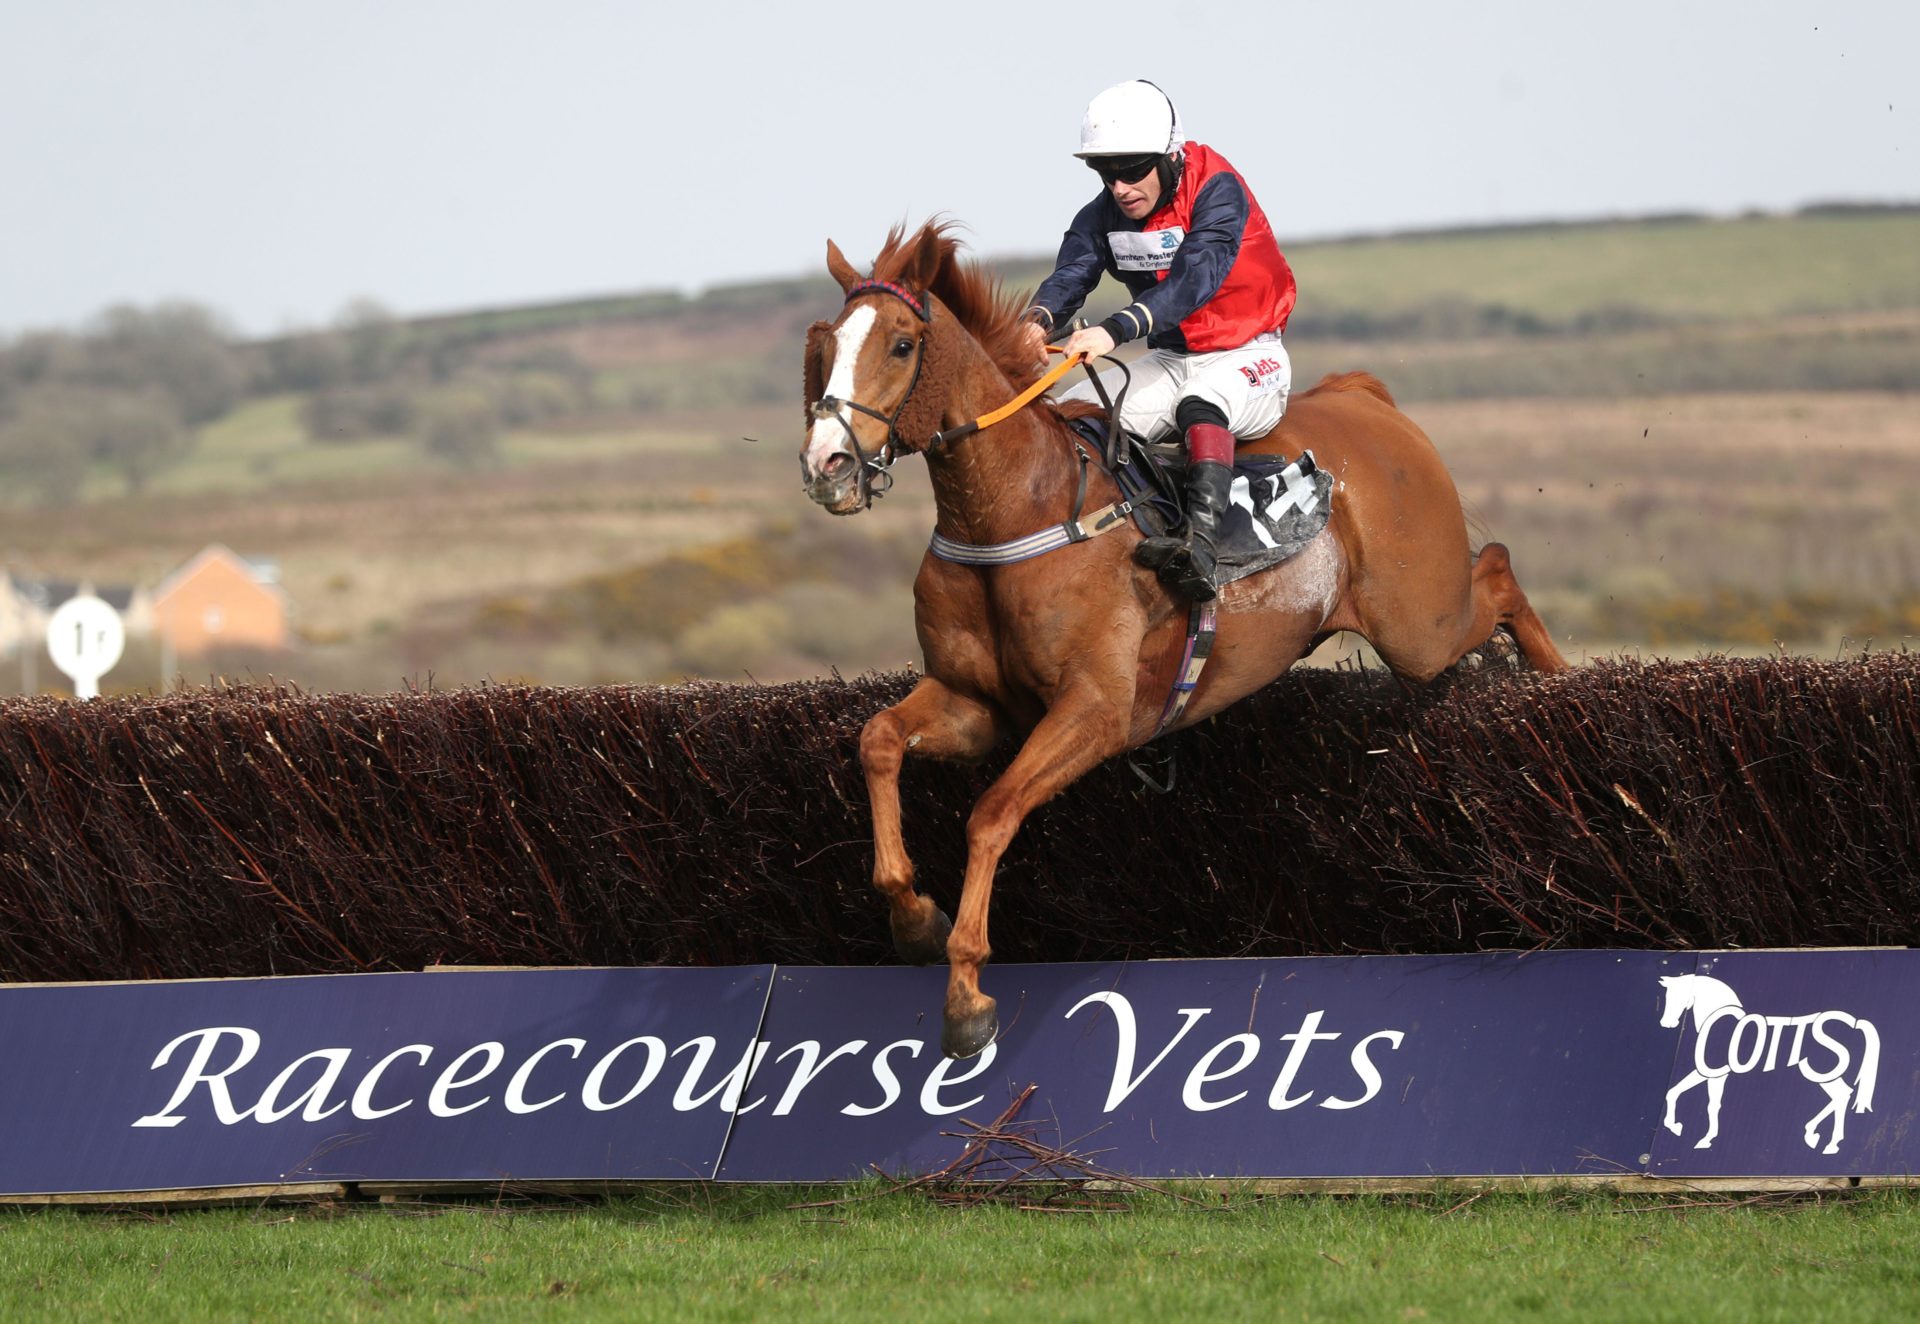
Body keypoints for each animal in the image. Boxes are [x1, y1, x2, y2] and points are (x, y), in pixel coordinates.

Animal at [800, 220, 1568, 1059]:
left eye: (902, 344)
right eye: (825, 344)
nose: (826, 465)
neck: (1012, 511)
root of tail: (1362, 396)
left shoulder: (1097, 710)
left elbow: (992, 813)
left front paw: (966, 992)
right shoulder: (976, 705)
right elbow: (878, 741)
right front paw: (912, 920)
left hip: (1418, 623)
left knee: (1498, 571)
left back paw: (1554, 680)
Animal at [1658, 973, 1879, 1155]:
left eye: (1676, 996)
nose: (1666, 1024)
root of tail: (1853, 1023)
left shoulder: (1713, 1073)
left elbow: (1711, 1104)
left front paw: (1704, 1139)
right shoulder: (1707, 1073)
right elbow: (1674, 1092)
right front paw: (1675, 1126)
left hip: (1822, 1073)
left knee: (1841, 1095)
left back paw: (1830, 1143)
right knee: (1842, 1095)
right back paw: (1812, 1134)